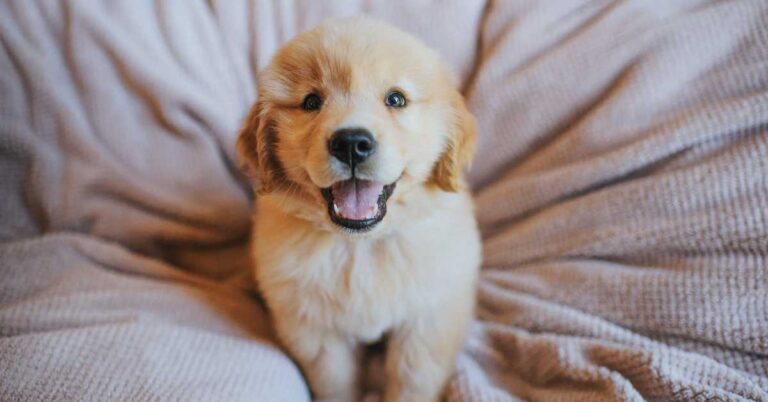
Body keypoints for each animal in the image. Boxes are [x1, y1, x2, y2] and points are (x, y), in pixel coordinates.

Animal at [238, 16, 480, 402]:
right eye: (311, 101)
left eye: (396, 99)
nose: (351, 143)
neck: (360, 246)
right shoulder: (314, 328)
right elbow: (336, 382)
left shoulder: (428, 322)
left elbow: (412, 380)